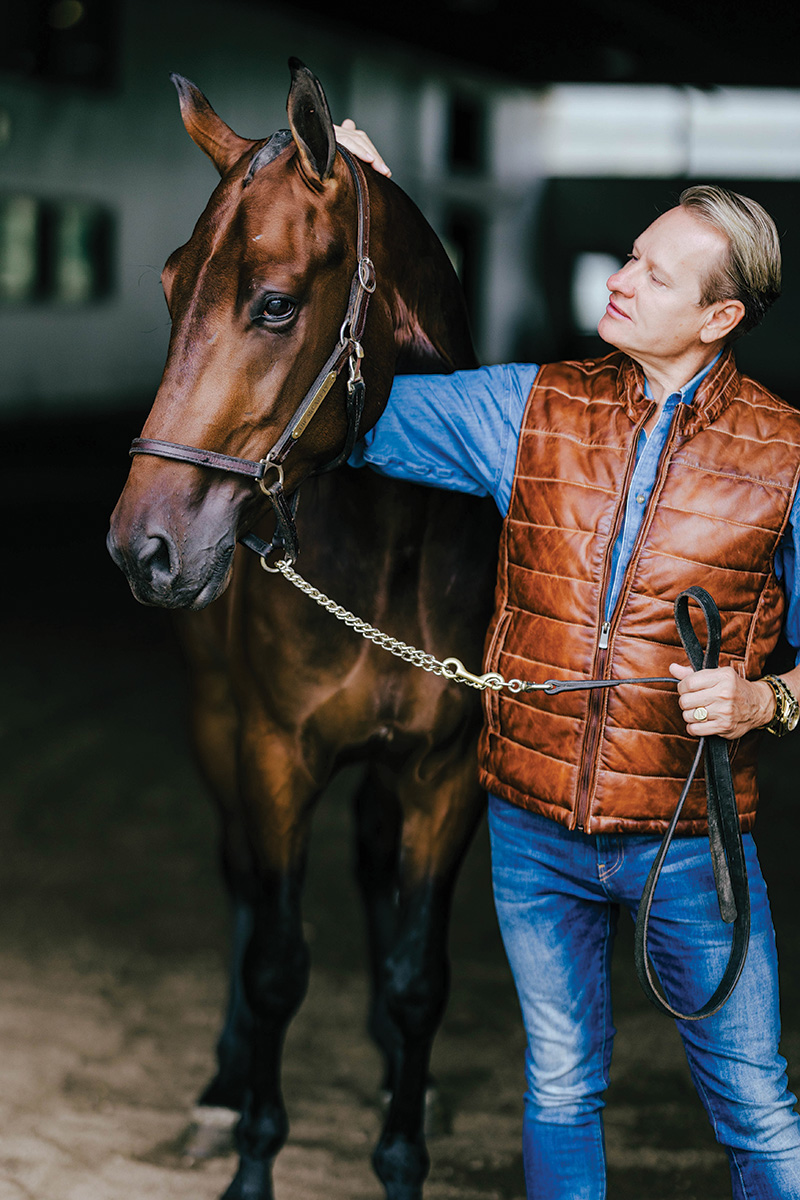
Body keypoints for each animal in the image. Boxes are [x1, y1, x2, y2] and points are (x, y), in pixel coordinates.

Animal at [106, 58, 501, 1200]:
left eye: (275, 303)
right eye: (167, 286)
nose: (142, 547)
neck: (396, 546)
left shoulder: (443, 773)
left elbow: (419, 975)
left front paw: (403, 1146)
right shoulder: (273, 754)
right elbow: (276, 961)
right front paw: (251, 1158)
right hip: (215, 721)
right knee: (242, 885)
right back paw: (221, 1086)